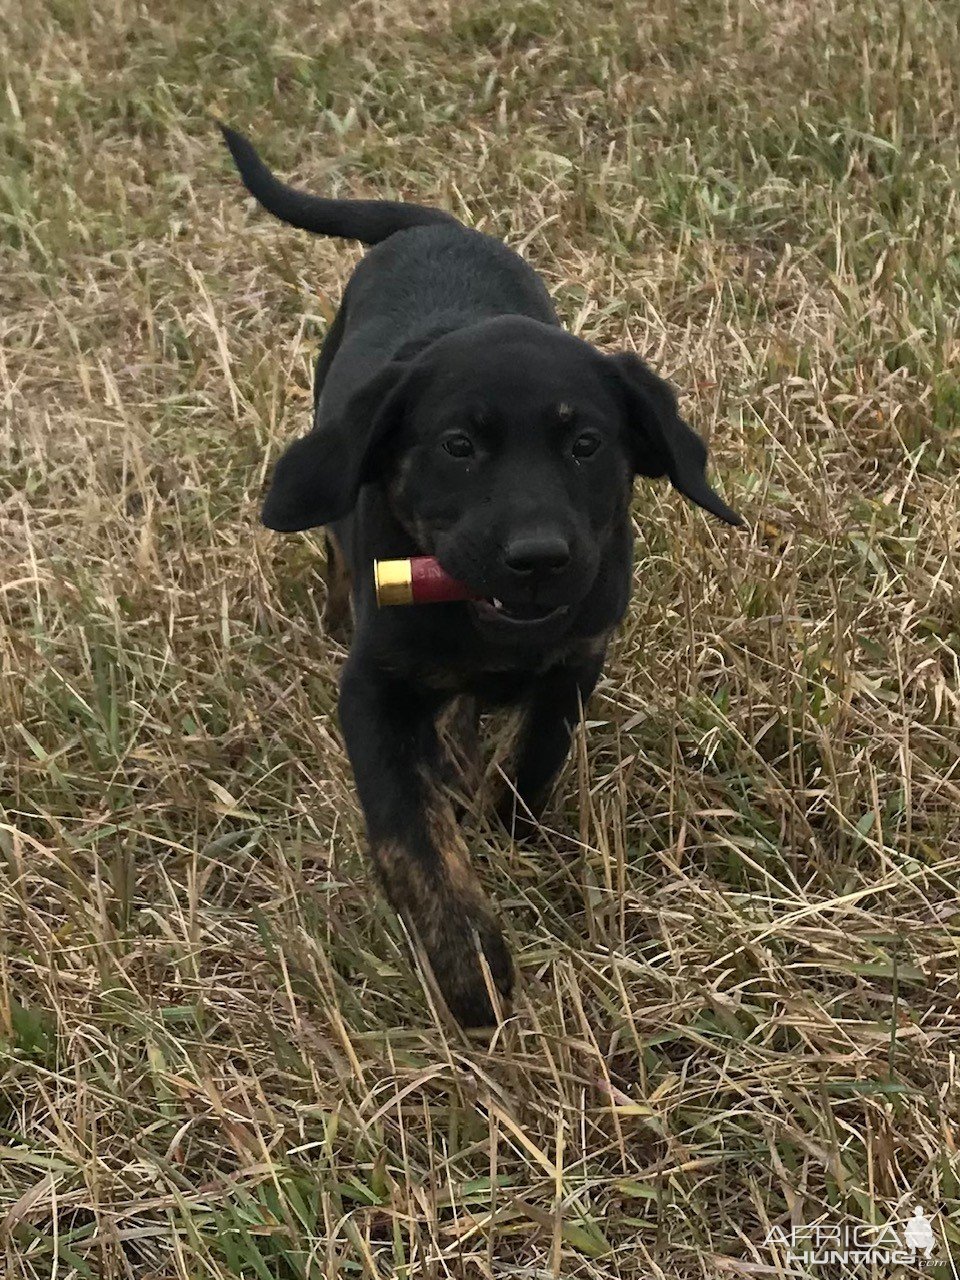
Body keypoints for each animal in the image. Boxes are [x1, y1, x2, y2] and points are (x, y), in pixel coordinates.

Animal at [220, 127, 742, 1029]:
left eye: (586, 444)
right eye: (458, 446)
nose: (537, 557)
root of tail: (434, 228)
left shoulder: (577, 659)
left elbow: (537, 757)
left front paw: (513, 833)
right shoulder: (375, 691)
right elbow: (411, 831)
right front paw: (469, 966)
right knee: (335, 551)